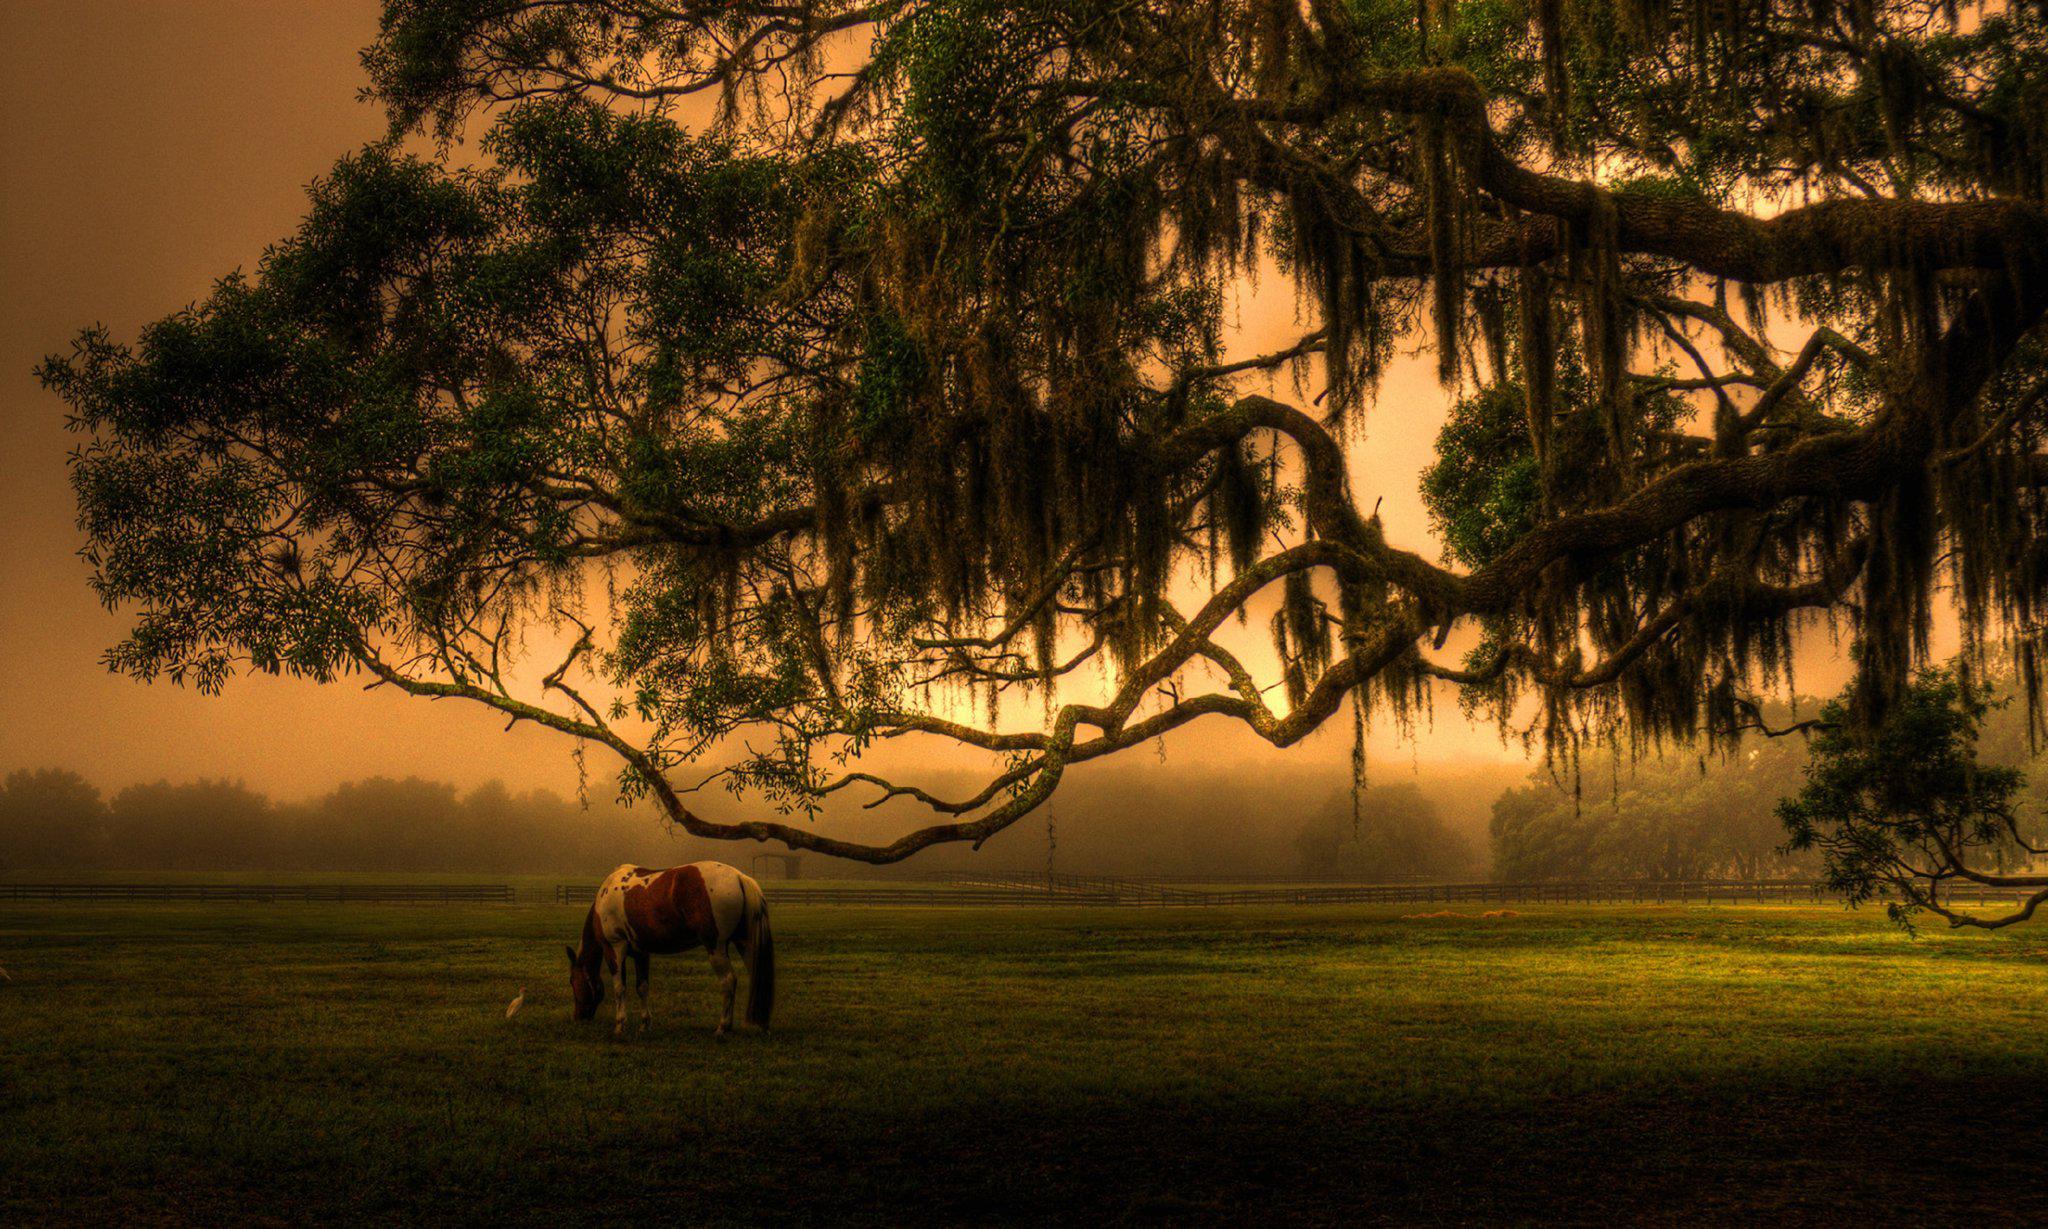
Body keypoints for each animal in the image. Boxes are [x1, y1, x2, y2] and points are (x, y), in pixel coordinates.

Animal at [569, 864, 774, 1036]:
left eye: (572, 981)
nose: (578, 1017)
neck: (605, 896)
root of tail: (739, 877)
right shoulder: (641, 953)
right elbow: (642, 987)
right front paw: (645, 1024)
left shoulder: (614, 948)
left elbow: (620, 988)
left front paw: (620, 1026)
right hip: (745, 944)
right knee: (756, 975)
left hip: (716, 947)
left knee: (728, 981)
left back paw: (723, 1027)